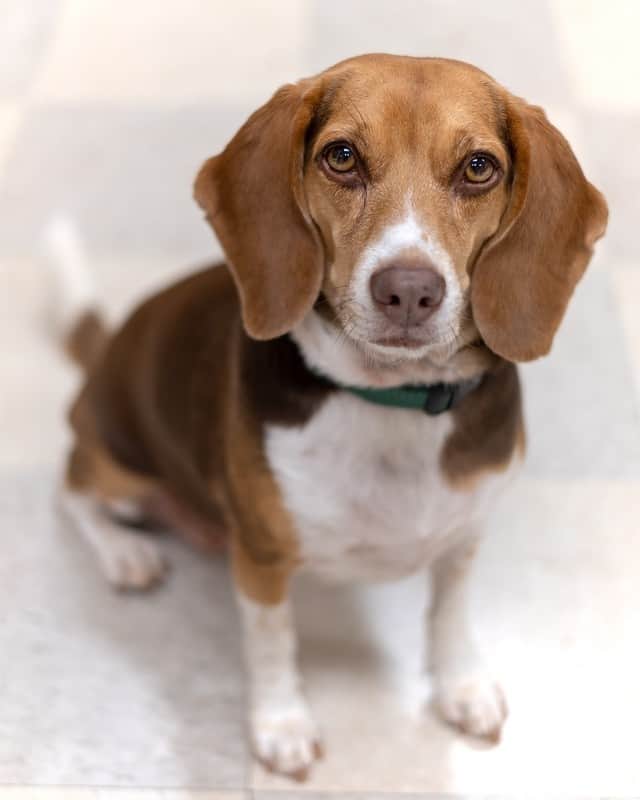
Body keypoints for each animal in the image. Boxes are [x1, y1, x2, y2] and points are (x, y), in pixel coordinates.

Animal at [52, 56, 608, 780]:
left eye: (479, 167)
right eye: (341, 157)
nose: (408, 290)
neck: (391, 400)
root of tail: (104, 353)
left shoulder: (464, 535)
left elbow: (449, 617)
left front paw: (461, 685)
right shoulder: (261, 559)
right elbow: (272, 644)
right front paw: (281, 726)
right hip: (116, 462)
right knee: (72, 489)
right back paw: (125, 552)